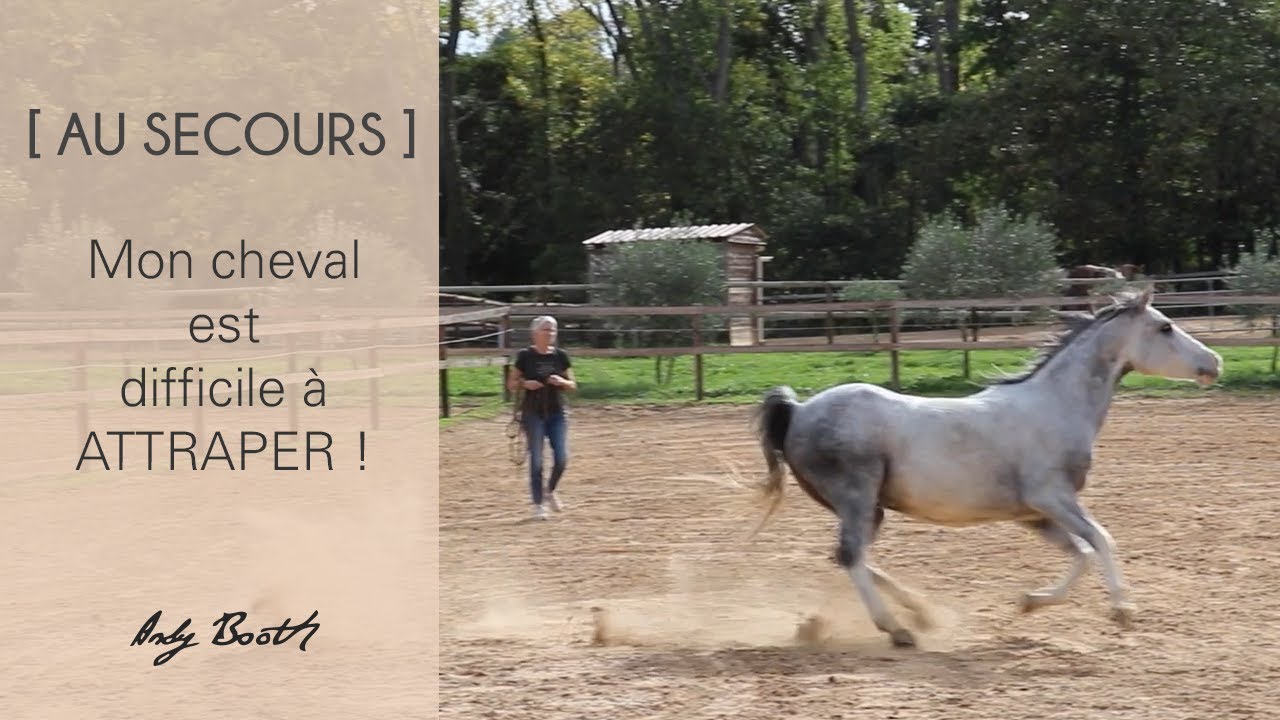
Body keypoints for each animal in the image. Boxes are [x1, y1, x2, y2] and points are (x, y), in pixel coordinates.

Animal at [750, 289, 1221, 648]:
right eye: (1165, 327)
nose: (1214, 362)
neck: (1055, 407)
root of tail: (798, 409)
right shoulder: (1052, 497)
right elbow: (1102, 541)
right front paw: (1123, 610)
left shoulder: (1034, 514)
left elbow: (1082, 553)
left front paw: (1029, 601)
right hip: (857, 495)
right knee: (851, 555)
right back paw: (898, 629)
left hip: (869, 507)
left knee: (850, 557)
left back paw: (895, 615)